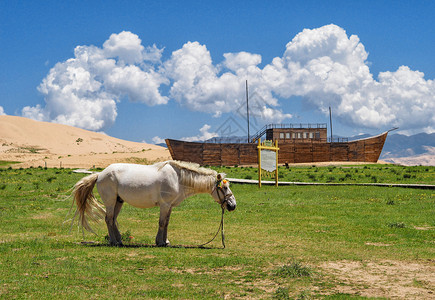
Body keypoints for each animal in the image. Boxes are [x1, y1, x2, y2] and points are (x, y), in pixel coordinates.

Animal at [72, 159, 235, 246]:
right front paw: (160, 242)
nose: (232, 205)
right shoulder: (164, 205)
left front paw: (166, 241)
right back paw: (114, 241)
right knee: (108, 219)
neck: (178, 178)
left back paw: (119, 240)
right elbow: (162, 223)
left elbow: (167, 223)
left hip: (119, 201)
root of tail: (100, 174)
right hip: (111, 202)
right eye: (225, 187)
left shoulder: (169, 206)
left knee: (112, 220)